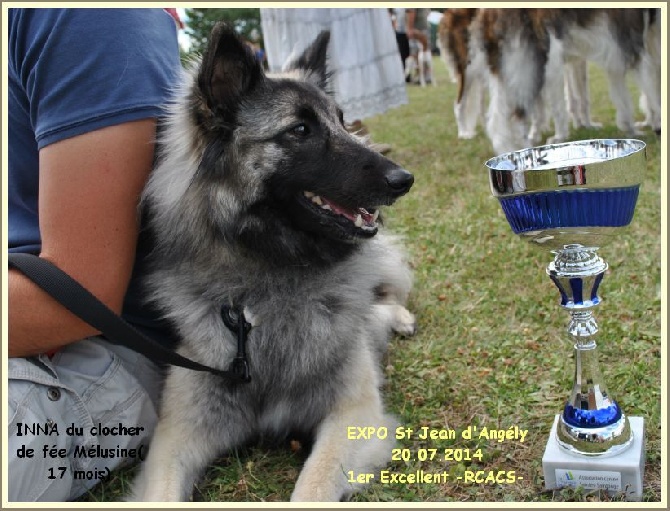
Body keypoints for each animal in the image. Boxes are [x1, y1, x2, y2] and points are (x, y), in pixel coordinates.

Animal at [129, 24, 418, 504]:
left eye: (342, 121)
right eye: (300, 130)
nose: (404, 179)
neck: (272, 277)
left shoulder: (353, 416)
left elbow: (312, 488)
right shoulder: (177, 435)